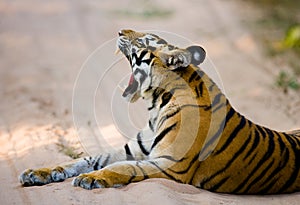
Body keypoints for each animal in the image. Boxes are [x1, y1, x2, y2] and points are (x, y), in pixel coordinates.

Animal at [19, 28, 300, 194]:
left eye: (143, 40)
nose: (120, 30)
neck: (155, 105)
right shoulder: (132, 149)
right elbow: (83, 159)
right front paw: (38, 173)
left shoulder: (169, 164)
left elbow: (124, 168)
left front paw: (91, 178)